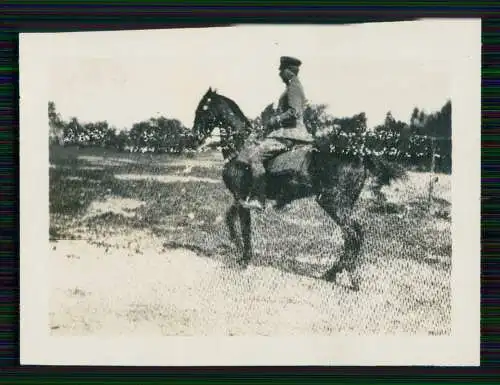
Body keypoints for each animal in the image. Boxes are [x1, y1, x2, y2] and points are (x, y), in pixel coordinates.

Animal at [189, 87, 404, 290]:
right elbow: (229, 219)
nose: (194, 137)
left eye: (203, 108)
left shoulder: (242, 198)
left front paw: (244, 258)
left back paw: (347, 275)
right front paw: (236, 245)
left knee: (353, 235)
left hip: (332, 203)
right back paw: (334, 272)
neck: (241, 147)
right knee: (354, 236)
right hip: (343, 205)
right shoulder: (240, 199)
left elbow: (245, 229)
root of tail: (359, 155)